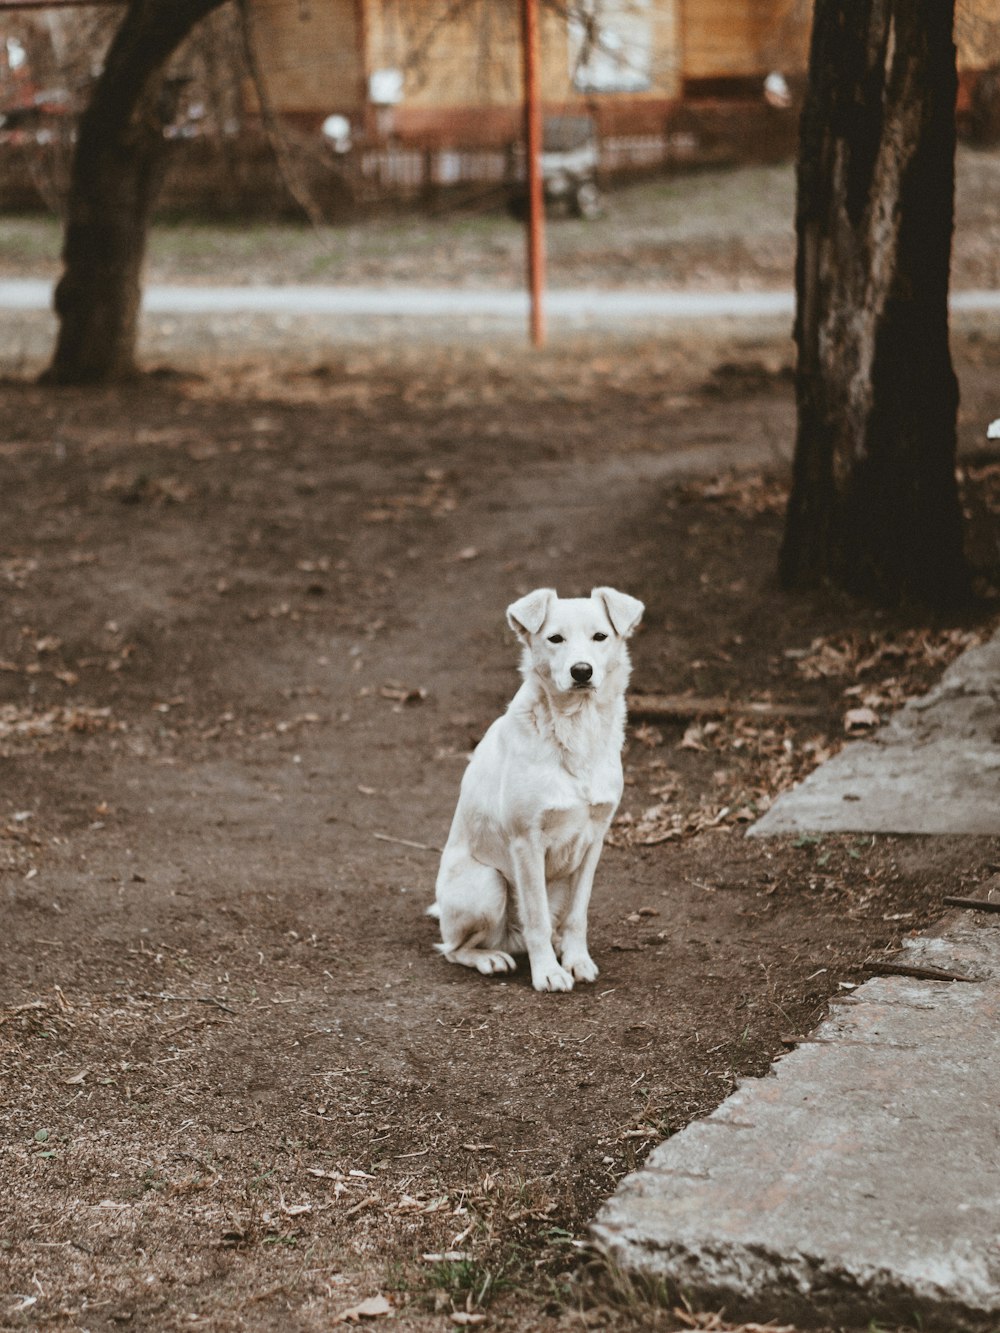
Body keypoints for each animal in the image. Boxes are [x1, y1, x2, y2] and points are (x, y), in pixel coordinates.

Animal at [434, 583, 645, 991]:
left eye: (600, 637)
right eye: (555, 639)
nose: (582, 671)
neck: (576, 728)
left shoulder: (594, 841)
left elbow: (578, 916)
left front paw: (576, 960)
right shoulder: (526, 843)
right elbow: (537, 919)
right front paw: (548, 971)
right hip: (488, 885)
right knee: (453, 947)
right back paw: (490, 958)